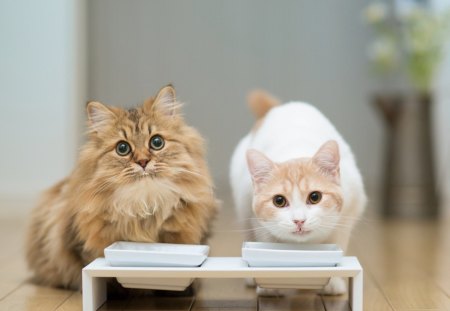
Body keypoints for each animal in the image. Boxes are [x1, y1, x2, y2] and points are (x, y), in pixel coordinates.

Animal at [230, 90, 368, 294]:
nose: (299, 221)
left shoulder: (349, 212)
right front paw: (269, 286)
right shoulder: (255, 217)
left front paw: (333, 281)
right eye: (279, 201)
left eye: (315, 197)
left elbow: (338, 246)